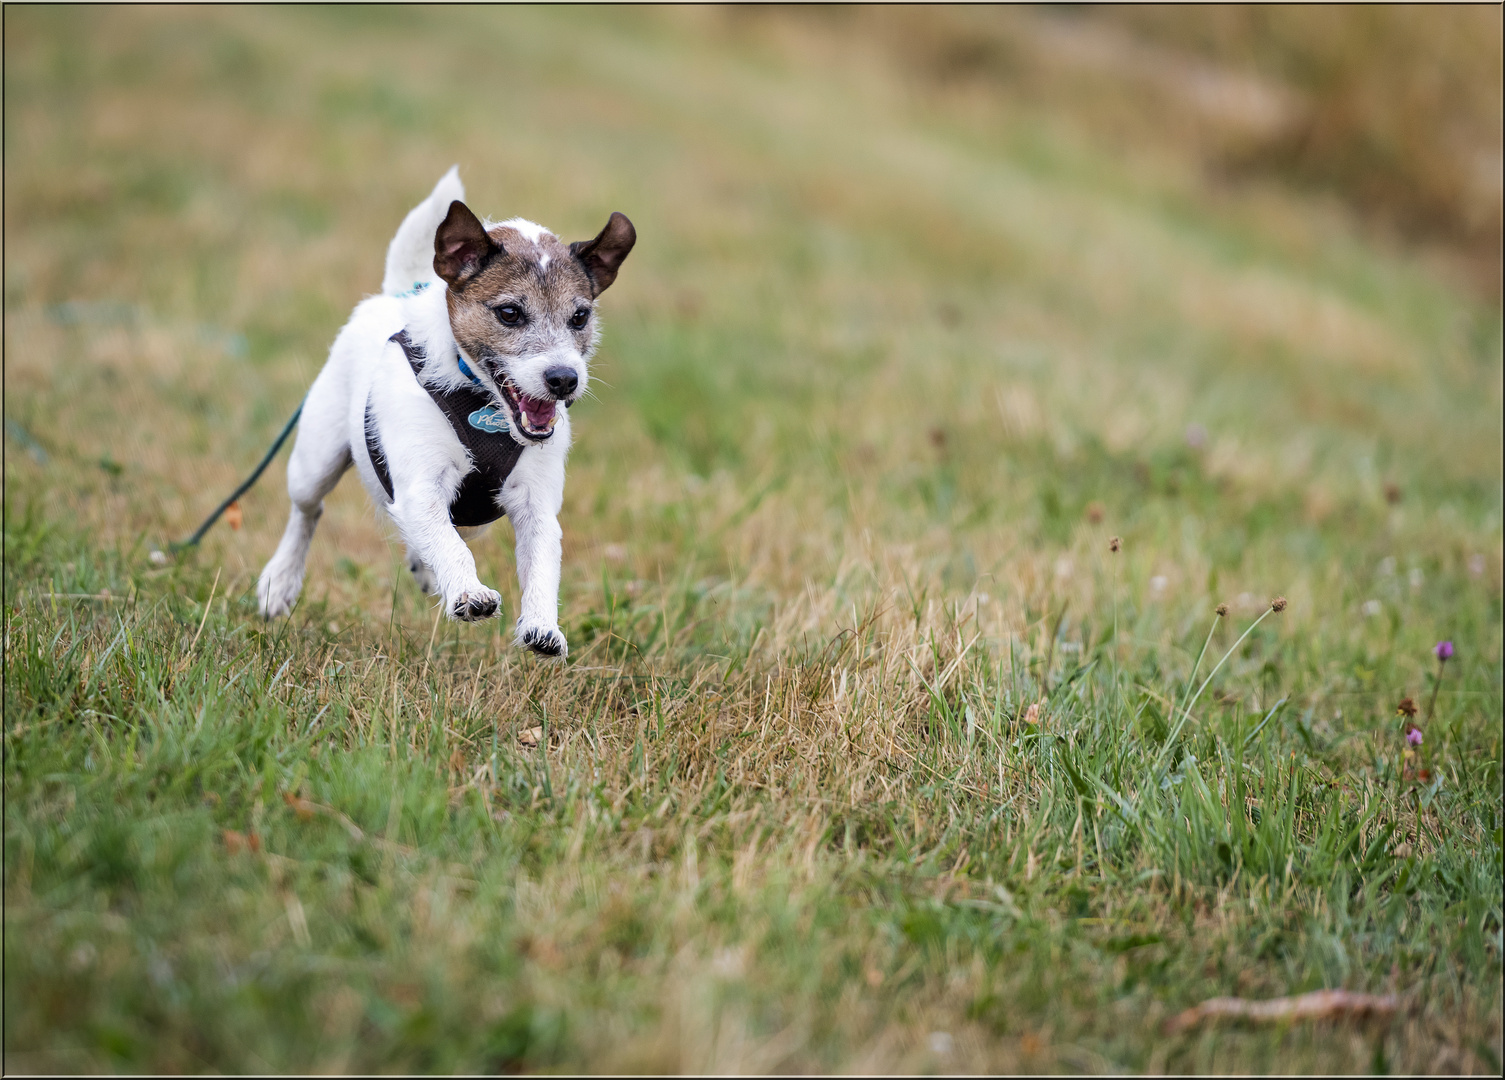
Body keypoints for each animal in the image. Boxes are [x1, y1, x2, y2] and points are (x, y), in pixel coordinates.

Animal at [258, 171, 635, 658]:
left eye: (580, 316)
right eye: (510, 313)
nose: (564, 379)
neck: (482, 402)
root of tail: (392, 293)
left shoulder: (536, 502)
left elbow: (541, 562)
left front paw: (541, 625)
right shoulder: (421, 486)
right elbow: (448, 543)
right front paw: (468, 592)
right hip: (315, 461)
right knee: (307, 511)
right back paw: (280, 580)